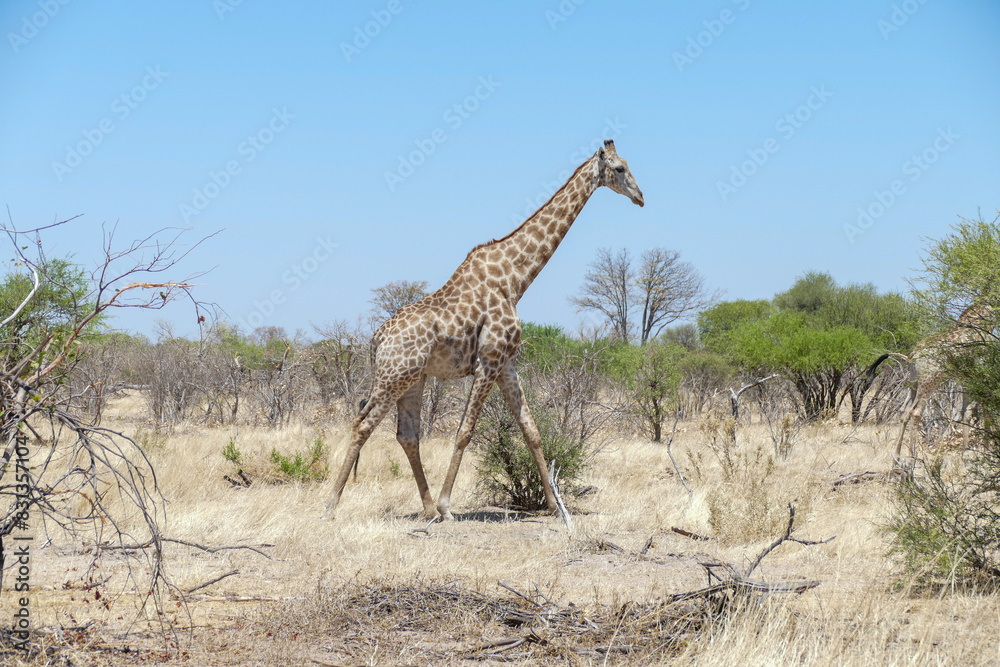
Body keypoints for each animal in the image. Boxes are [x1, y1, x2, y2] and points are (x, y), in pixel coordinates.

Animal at [325, 139, 644, 520]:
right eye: (621, 168)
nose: (640, 196)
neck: (514, 279)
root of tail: (376, 340)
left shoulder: (507, 364)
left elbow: (531, 429)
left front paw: (554, 506)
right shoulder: (488, 361)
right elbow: (465, 431)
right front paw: (448, 505)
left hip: (413, 379)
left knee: (407, 435)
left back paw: (427, 509)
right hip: (393, 376)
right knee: (363, 424)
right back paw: (333, 505)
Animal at [894, 302, 994, 459]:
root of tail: (913, 355)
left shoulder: (967, 381)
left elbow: (966, 413)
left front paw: (966, 452)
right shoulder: (981, 373)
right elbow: (983, 411)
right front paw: (985, 452)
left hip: (913, 382)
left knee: (904, 411)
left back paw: (897, 456)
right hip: (929, 383)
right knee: (916, 413)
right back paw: (911, 456)